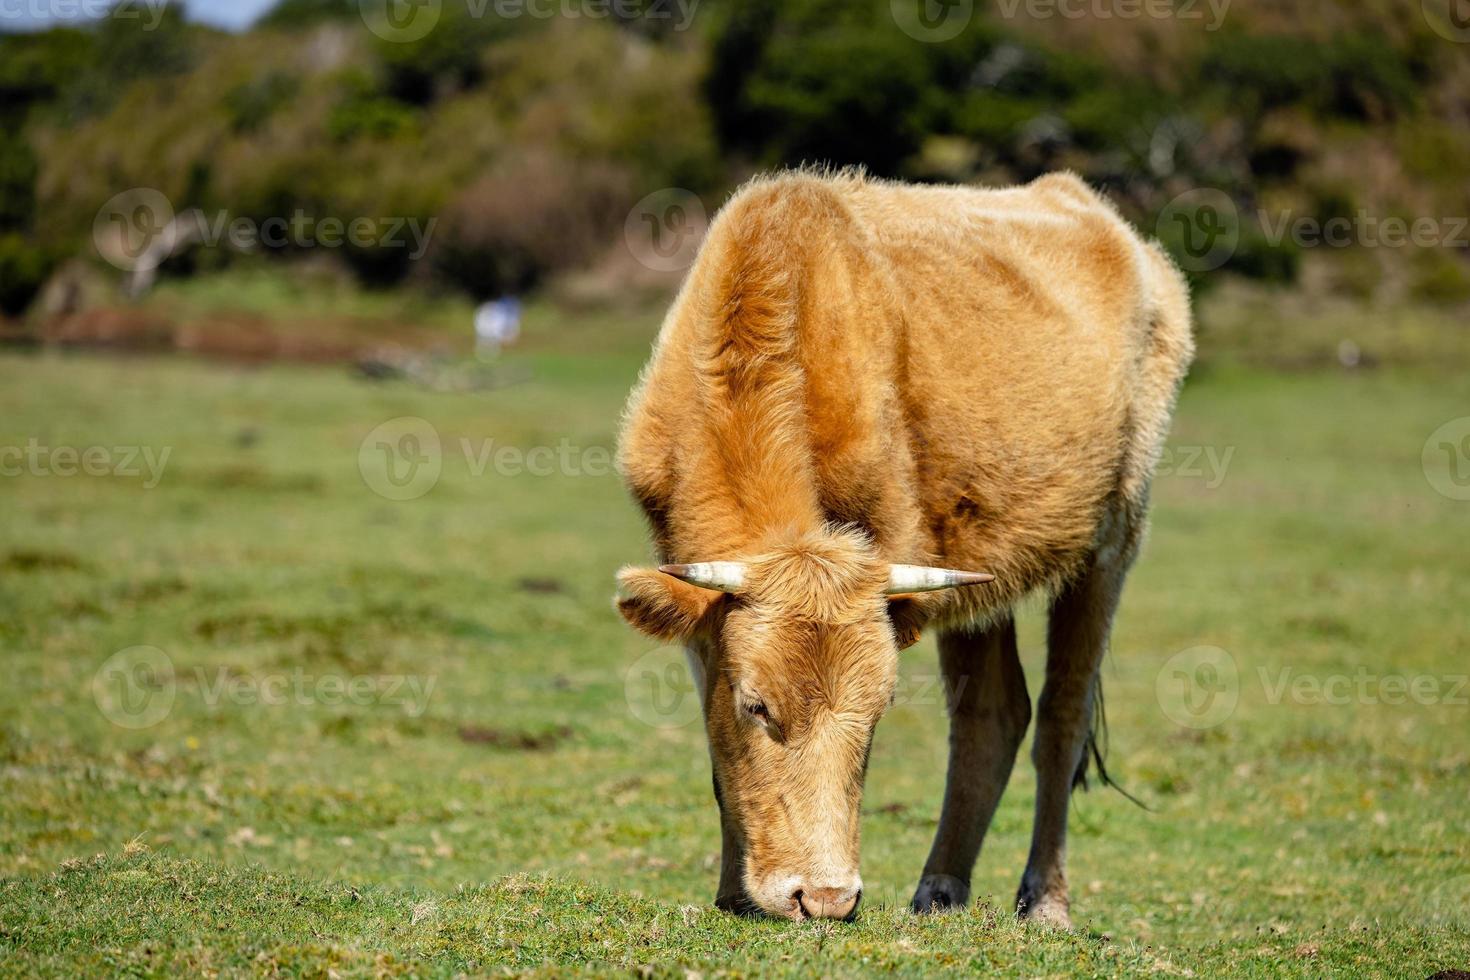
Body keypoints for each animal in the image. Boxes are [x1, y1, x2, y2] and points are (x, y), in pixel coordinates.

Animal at [614, 170, 1187, 928]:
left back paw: (1045, 900)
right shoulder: (697, 611)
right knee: (992, 716)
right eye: (755, 706)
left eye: (879, 708)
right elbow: (717, 754)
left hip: (1110, 545)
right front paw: (734, 891)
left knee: (1060, 720)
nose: (825, 896)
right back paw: (940, 889)